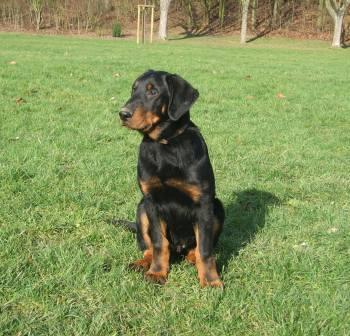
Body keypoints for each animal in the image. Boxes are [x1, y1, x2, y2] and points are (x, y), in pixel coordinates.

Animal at [119, 70, 226, 286]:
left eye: (153, 91)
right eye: (134, 89)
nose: (123, 114)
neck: (166, 144)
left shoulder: (203, 203)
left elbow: (205, 248)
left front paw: (210, 280)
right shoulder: (151, 201)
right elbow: (159, 243)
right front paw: (157, 273)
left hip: (217, 207)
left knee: (197, 246)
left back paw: (192, 258)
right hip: (141, 208)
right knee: (149, 247)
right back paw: (143, 263)